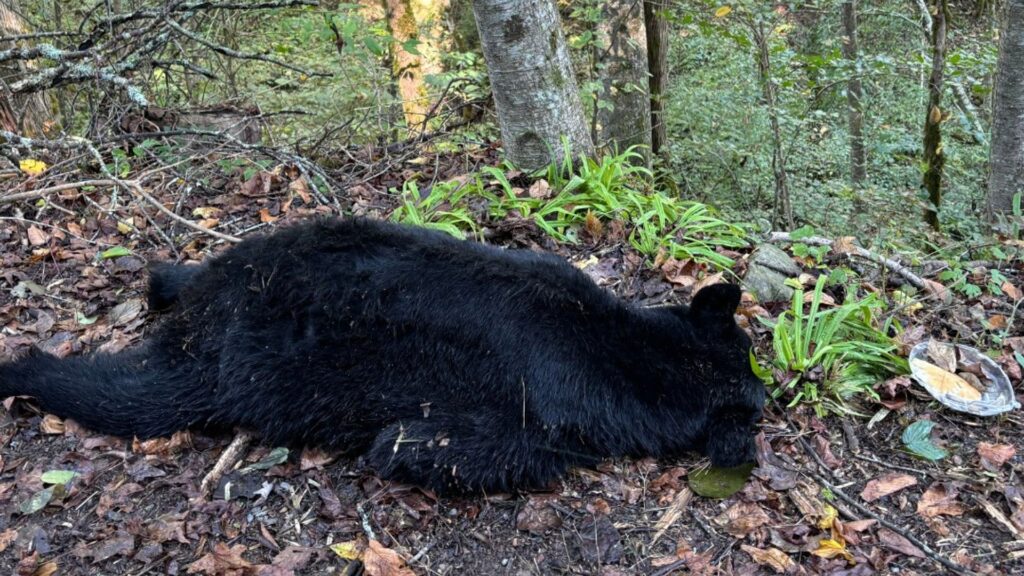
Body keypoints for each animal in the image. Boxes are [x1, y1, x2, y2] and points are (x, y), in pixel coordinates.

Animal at [0, 217, 765, 491]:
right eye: (757, 402)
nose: (771, 393)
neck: (630, 357)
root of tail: (210, 305)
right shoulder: (545, 415)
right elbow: (460, 449)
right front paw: (398, 445)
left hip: (249, 258)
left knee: (179, 276)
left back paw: (163, 277)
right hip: (212, 366)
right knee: (122, 394)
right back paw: (21, 368)